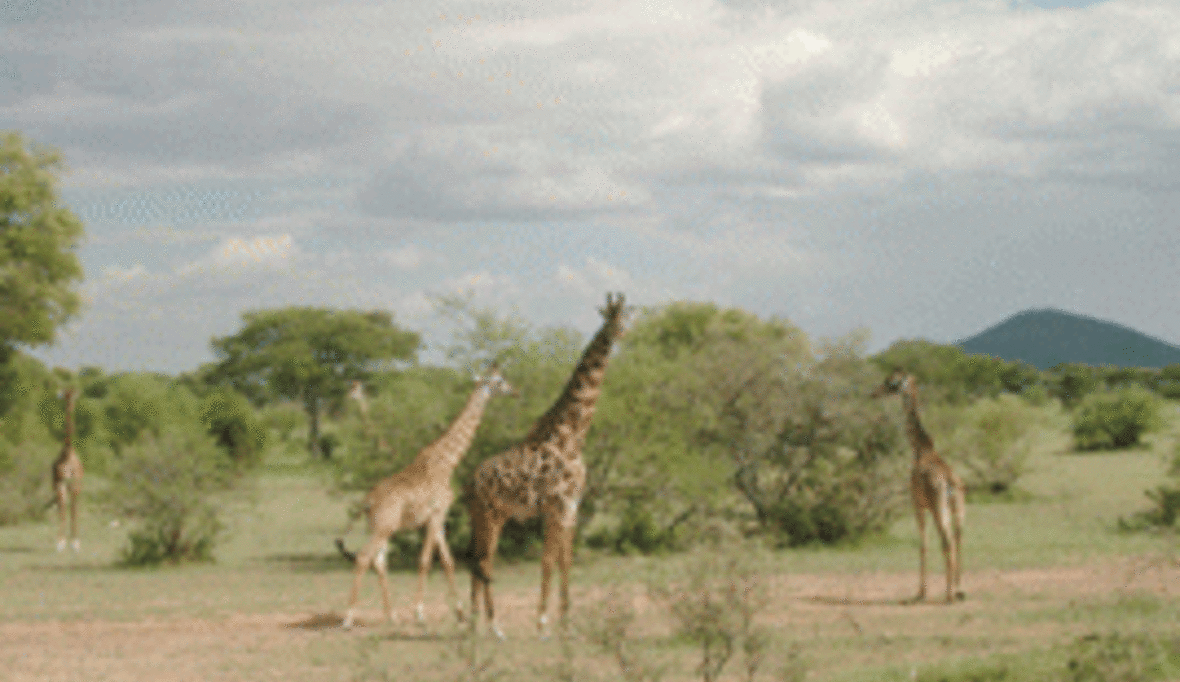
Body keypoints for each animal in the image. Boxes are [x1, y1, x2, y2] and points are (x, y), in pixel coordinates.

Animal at [335, 365, 514, 627]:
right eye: (499, 381)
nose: (514, 390)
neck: (447, 461)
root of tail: (367, 502)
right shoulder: (436, 514)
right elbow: (425, 561)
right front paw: (419, 613)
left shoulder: (437, 518)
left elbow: (448, 562)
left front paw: (460, 614)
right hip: (384, 528)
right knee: (364, 557)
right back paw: (348, 617)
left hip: (379, 528)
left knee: (378, 561)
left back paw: (392, 617)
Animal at [464, 290, 627, 637]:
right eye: (610, 318)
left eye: (625, 317)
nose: (619, 333)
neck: (573, 436)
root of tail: (469, 482)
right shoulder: (556, 505)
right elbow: (549, 561)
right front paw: (542, 624)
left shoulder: (572, 506)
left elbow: (566, 561)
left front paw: (567, 622)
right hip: (490, 516)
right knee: (484, 561)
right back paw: (494, 626)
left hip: (484, 516)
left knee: (476, 560)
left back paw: (474, 624)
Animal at [873, 365, 962, 599]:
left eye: (891, 383)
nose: (874, 393)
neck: (921, 450)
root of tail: (950, 483)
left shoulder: (918, 505)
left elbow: (923, 544)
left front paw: (921, 592)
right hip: (958, 509)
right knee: (958, 539)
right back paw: (960, 589)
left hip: (939, 508)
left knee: (946, 541)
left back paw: (949, 595)